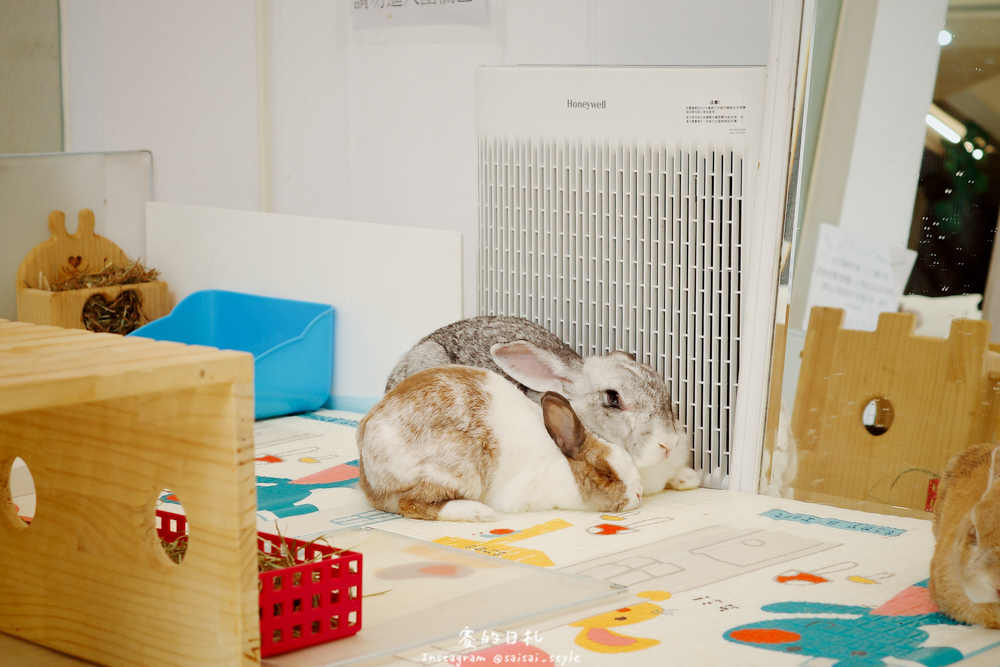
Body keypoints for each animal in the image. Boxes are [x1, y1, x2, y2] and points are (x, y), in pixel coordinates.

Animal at [356, 366, 644, 520]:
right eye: (605, 475)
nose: (639, 494)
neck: (564, 466)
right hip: (455, 473)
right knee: (412, 505)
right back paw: (478, 512)